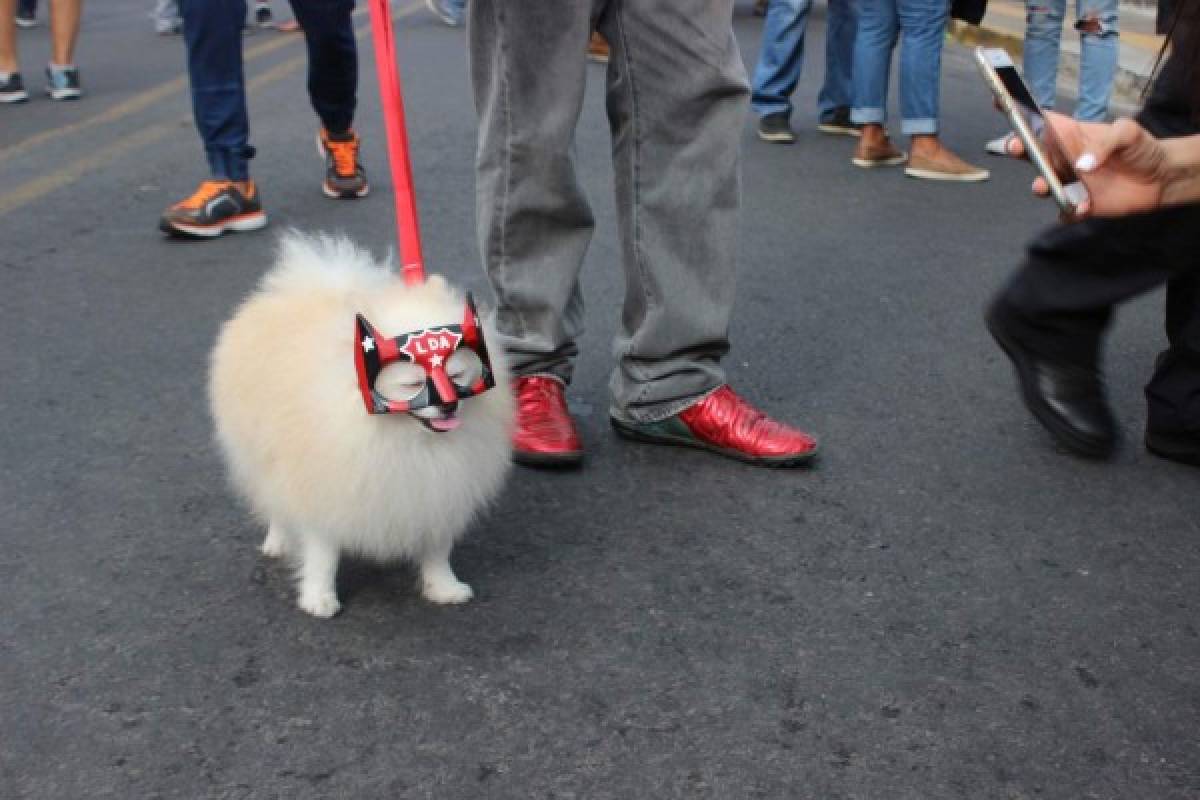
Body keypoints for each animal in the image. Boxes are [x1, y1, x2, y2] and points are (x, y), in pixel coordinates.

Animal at [211, 231, 511, 618]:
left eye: (457, 375)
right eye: (413, 384)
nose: (447, 404)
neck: (403, 439)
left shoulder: (437, 491)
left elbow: (436, 549)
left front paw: (444, 588)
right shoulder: (326, 489)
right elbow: (323, 553)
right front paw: (319, 598)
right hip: (259, 452)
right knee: (272, 500)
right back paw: (278, 541)